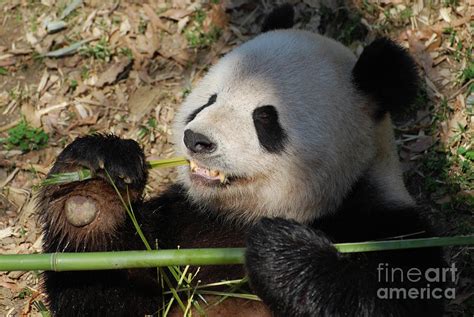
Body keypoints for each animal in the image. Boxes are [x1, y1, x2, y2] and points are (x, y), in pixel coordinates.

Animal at [38, 4, 444, 316]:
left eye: (264, 119)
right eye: (209, 100)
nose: (196, 140)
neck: (239, 218)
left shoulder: (390, 230)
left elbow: (385, 298)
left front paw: (279, 250)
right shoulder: (180, 228)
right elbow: (101, 293)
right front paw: (92, 187)